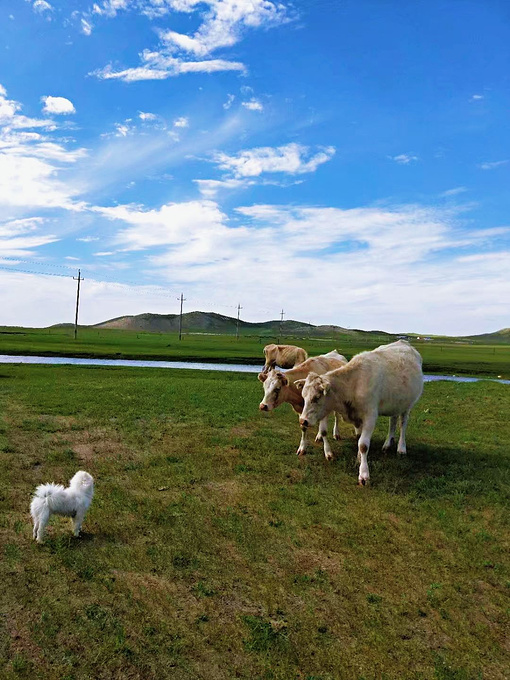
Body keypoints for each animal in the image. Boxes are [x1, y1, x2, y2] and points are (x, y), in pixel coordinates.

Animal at [294, 340, 422, 484]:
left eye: (316, 397)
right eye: (303, 396)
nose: (303, 420)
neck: (353, 384)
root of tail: (404, 342)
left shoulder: (370, 416)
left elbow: (363, 444)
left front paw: (364, 474)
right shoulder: (358, 416)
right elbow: (359, 438)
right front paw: (359, 459)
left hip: (407, 404)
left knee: (403, 424)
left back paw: (401, 448)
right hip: (395, 403)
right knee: (393, 421)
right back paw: (387, 444)